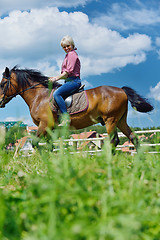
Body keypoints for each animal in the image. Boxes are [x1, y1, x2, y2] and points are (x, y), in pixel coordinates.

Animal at [0, 65, 153, 148]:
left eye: (2, 84)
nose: (0, 101)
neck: (39, 96)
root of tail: (121, 90)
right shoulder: (50, 128)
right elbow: (49, 146)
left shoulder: (44, 125)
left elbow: (36, 144)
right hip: (120, 120)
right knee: (133, 138)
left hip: (111, 120)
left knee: (114, 140)